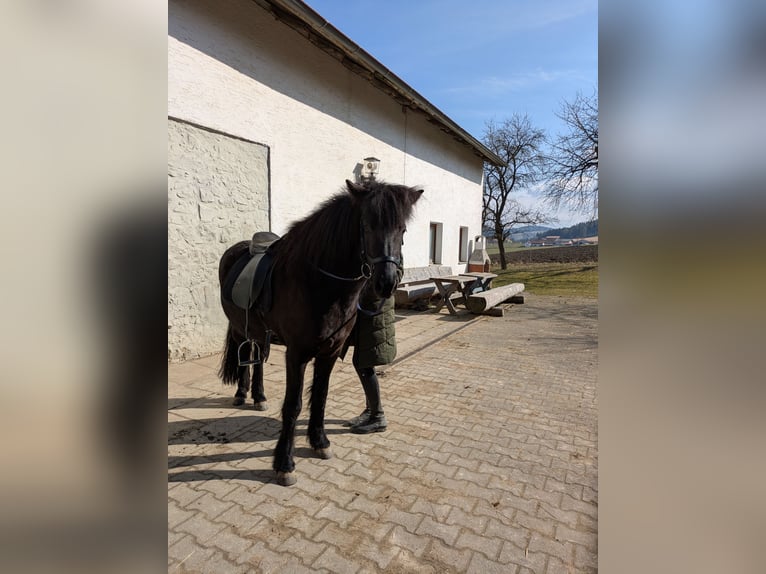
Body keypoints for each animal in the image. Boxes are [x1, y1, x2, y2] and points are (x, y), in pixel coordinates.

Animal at [218, 179, 422, 486]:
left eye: (403, 230)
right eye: (367, 226)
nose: (387, 282)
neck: (318, 283)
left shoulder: (330, 351)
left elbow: (321, 397)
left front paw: (319, 442)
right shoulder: (297, 354)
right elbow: (293, 405)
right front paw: (284, 464)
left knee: (257, 356)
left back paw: (258, 397)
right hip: (243, 327)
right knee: (249, 353)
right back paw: (243, 394)